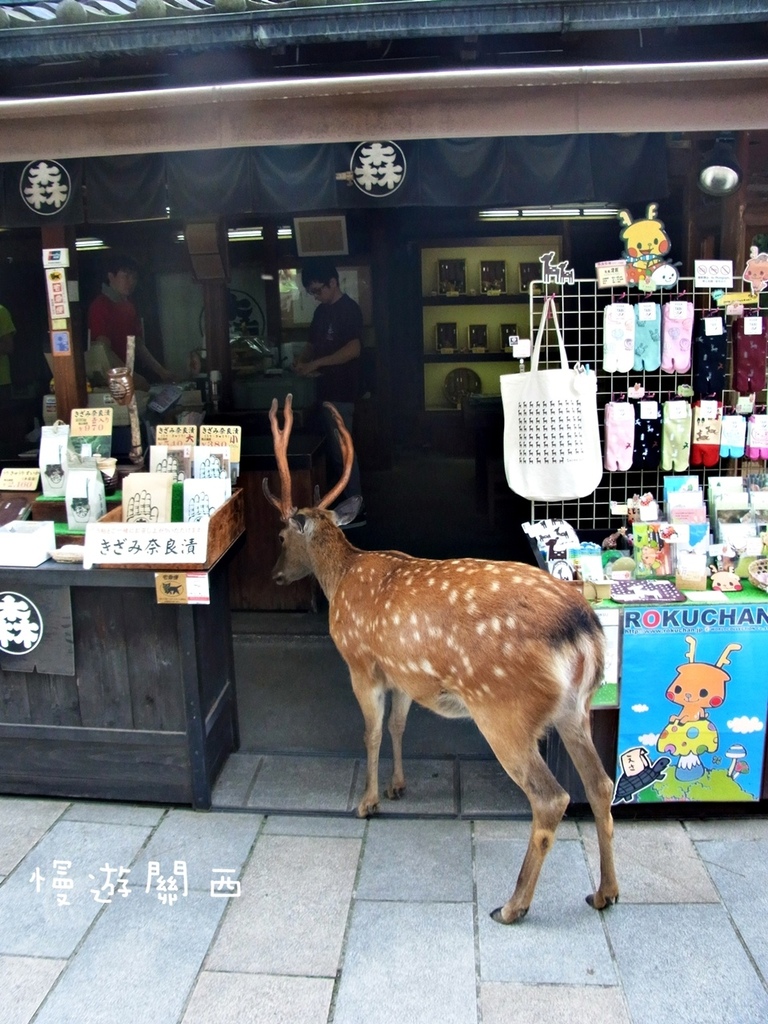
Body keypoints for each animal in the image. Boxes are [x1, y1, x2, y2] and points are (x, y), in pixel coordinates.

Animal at [264, 395, 618, 925]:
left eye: (283, 537)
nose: (275, 575)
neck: (341, 578)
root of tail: (584, 630)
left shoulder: (360, 662)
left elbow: (370, 732)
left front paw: (367, 802)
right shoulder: (406, 676)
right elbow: (397, 726)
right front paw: (398, 786)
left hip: (505, 711)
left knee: (552, 797)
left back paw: (512, 905)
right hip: (577, 709)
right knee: (600, 785)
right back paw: (605, 893)